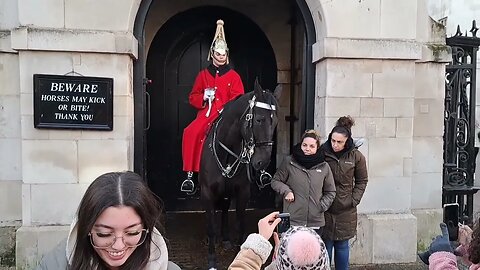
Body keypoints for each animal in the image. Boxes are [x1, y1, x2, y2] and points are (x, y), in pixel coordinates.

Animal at [199, 81, 280, 268]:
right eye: (259, 119)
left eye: (275, 122)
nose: (262, 162)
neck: (227, 153)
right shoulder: (207, 192)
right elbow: (210, 226)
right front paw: (212, 259)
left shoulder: (243, 192)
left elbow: (241, 224)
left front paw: (240, 250)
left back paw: (226, 239)